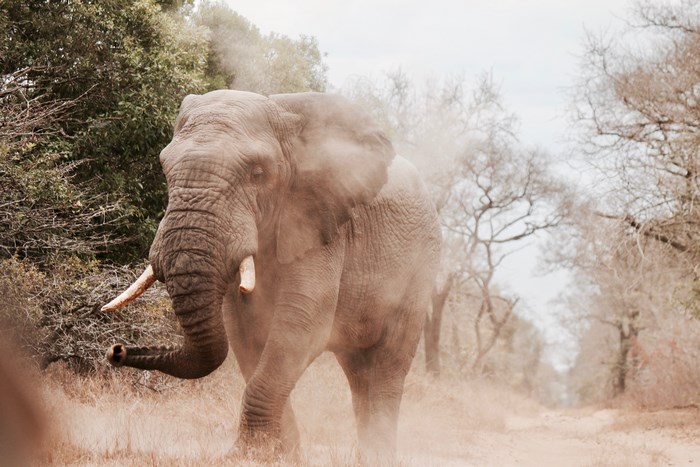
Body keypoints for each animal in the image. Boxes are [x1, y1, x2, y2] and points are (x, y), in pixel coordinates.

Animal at [102, 89, 441, 462]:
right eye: (165, 169)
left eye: (258, 173)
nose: (116, 350)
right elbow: (244, 335)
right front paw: (279, 456)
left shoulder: (320, 226)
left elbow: (300, 327)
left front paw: (247, 455)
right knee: (358, 370)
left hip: (419, 269)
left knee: (386, 365)